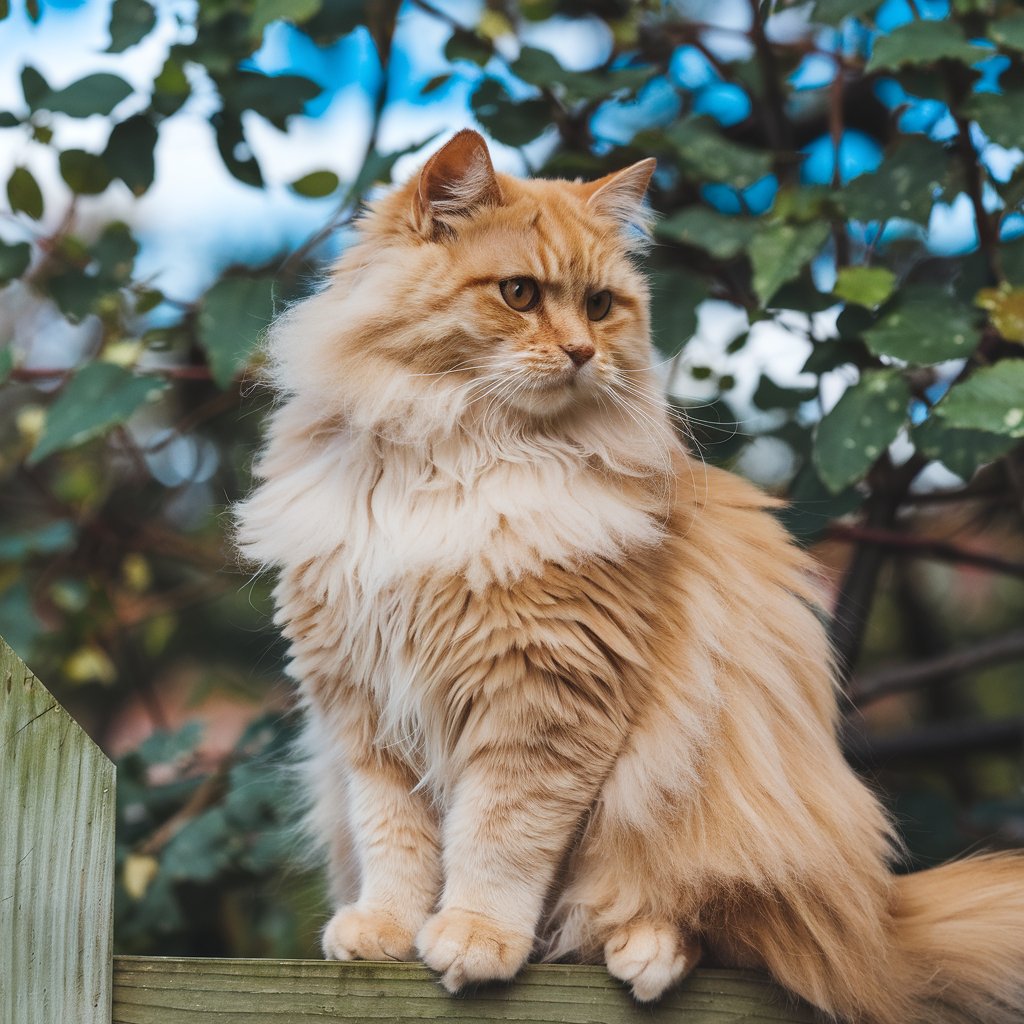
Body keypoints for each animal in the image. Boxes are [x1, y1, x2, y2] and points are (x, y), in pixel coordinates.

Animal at [235, 132, 1024, 1019]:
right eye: (519, 293)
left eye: (602, 306)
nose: (582, 352)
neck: (461, 456)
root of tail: (881, 920)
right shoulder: (363, 713)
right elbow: (396, 843)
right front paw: (384, 931)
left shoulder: (543, 702)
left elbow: (497, 839)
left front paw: (475, 938)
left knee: (707, 920)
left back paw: (644, 951)